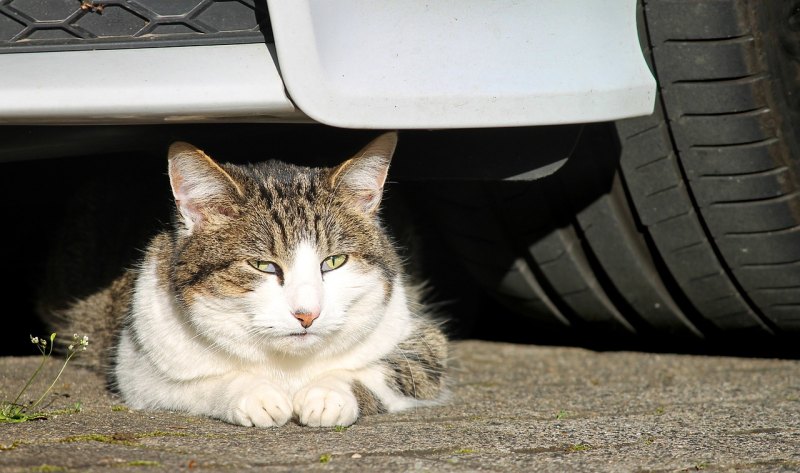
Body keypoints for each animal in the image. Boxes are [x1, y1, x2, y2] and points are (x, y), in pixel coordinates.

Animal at [43, 133, 446, 428]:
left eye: (334, 262)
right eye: (263, 265)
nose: (307, 314)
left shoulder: (423, 344)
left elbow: (388, 369)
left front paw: (328, 393)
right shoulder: (137, 366)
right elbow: (194, 384)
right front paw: (255, 394)